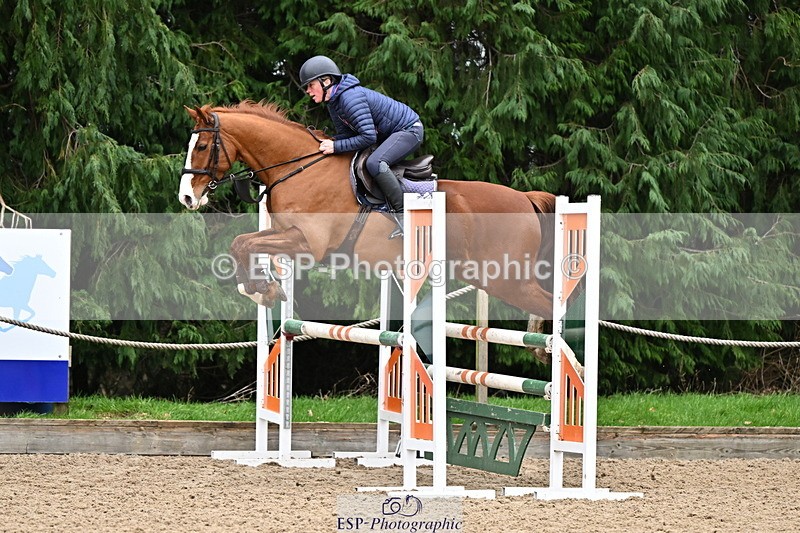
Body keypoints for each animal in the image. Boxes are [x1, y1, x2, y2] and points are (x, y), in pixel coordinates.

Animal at [178, 101, 557, 327]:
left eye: (201, 146)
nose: (186, 197)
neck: (299, 168)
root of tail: (525, 198)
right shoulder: (286, 235)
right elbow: (241, 242)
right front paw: (262, 290)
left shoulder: (308, 245)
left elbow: (245, 244)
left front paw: (261, 289)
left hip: (506, 278)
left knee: (555, 305)